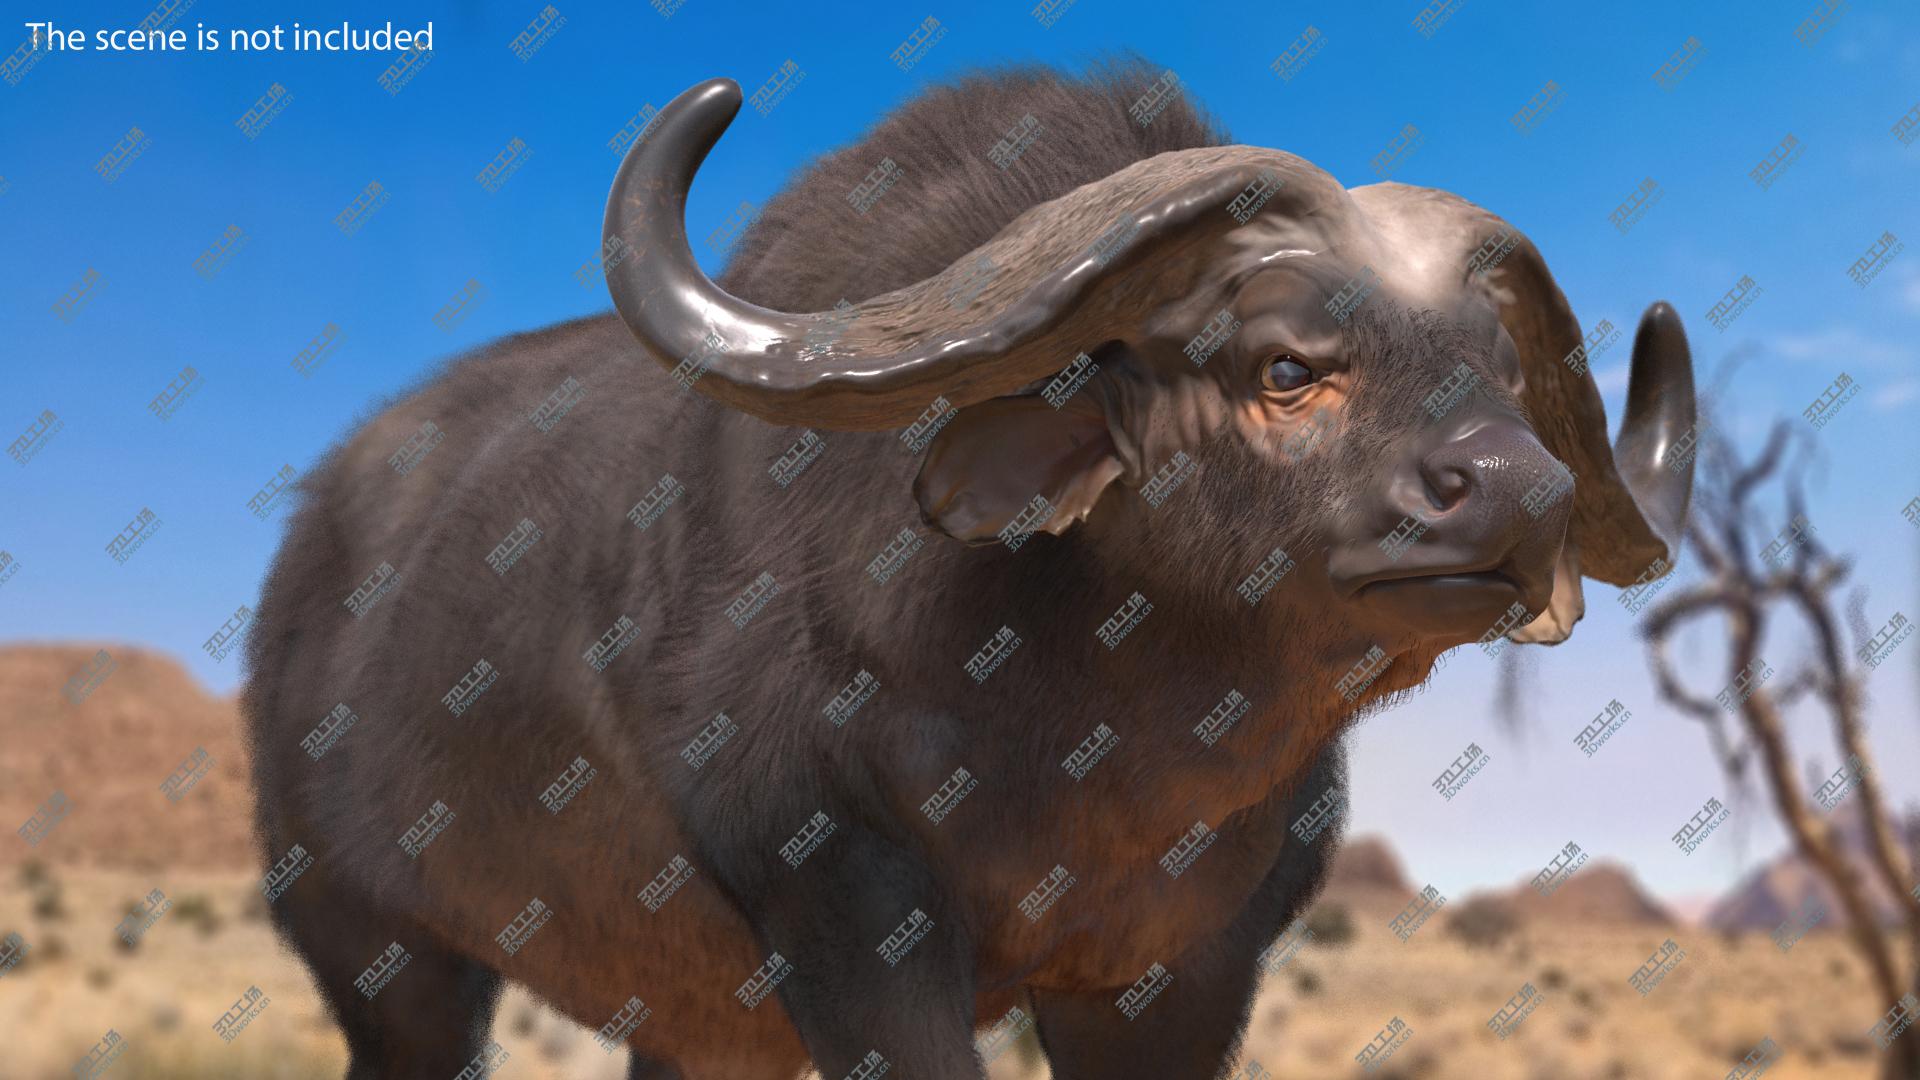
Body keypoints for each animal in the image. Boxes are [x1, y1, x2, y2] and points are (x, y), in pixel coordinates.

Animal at [244, 63, 1695, 1079]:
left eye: (1498, 366)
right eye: (1285, 364)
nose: (1522, 492)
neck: (1092, 745)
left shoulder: (1183, 974)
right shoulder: (850, 919)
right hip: (387, 964)